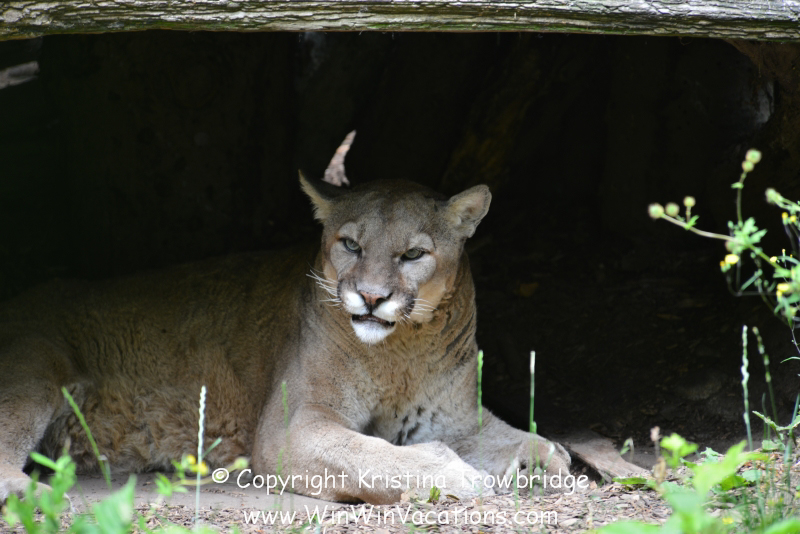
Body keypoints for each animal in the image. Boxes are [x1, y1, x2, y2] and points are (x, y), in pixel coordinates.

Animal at [0, 174, 571, 505]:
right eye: (350, 244)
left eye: (413, 255)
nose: (370, 297)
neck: (399, 353)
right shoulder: (292, 429)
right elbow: (371, 455)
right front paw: (457, 475)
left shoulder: (454, 419)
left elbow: (525, 438)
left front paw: (550, 462)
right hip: (34, 372)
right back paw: (27, 493)